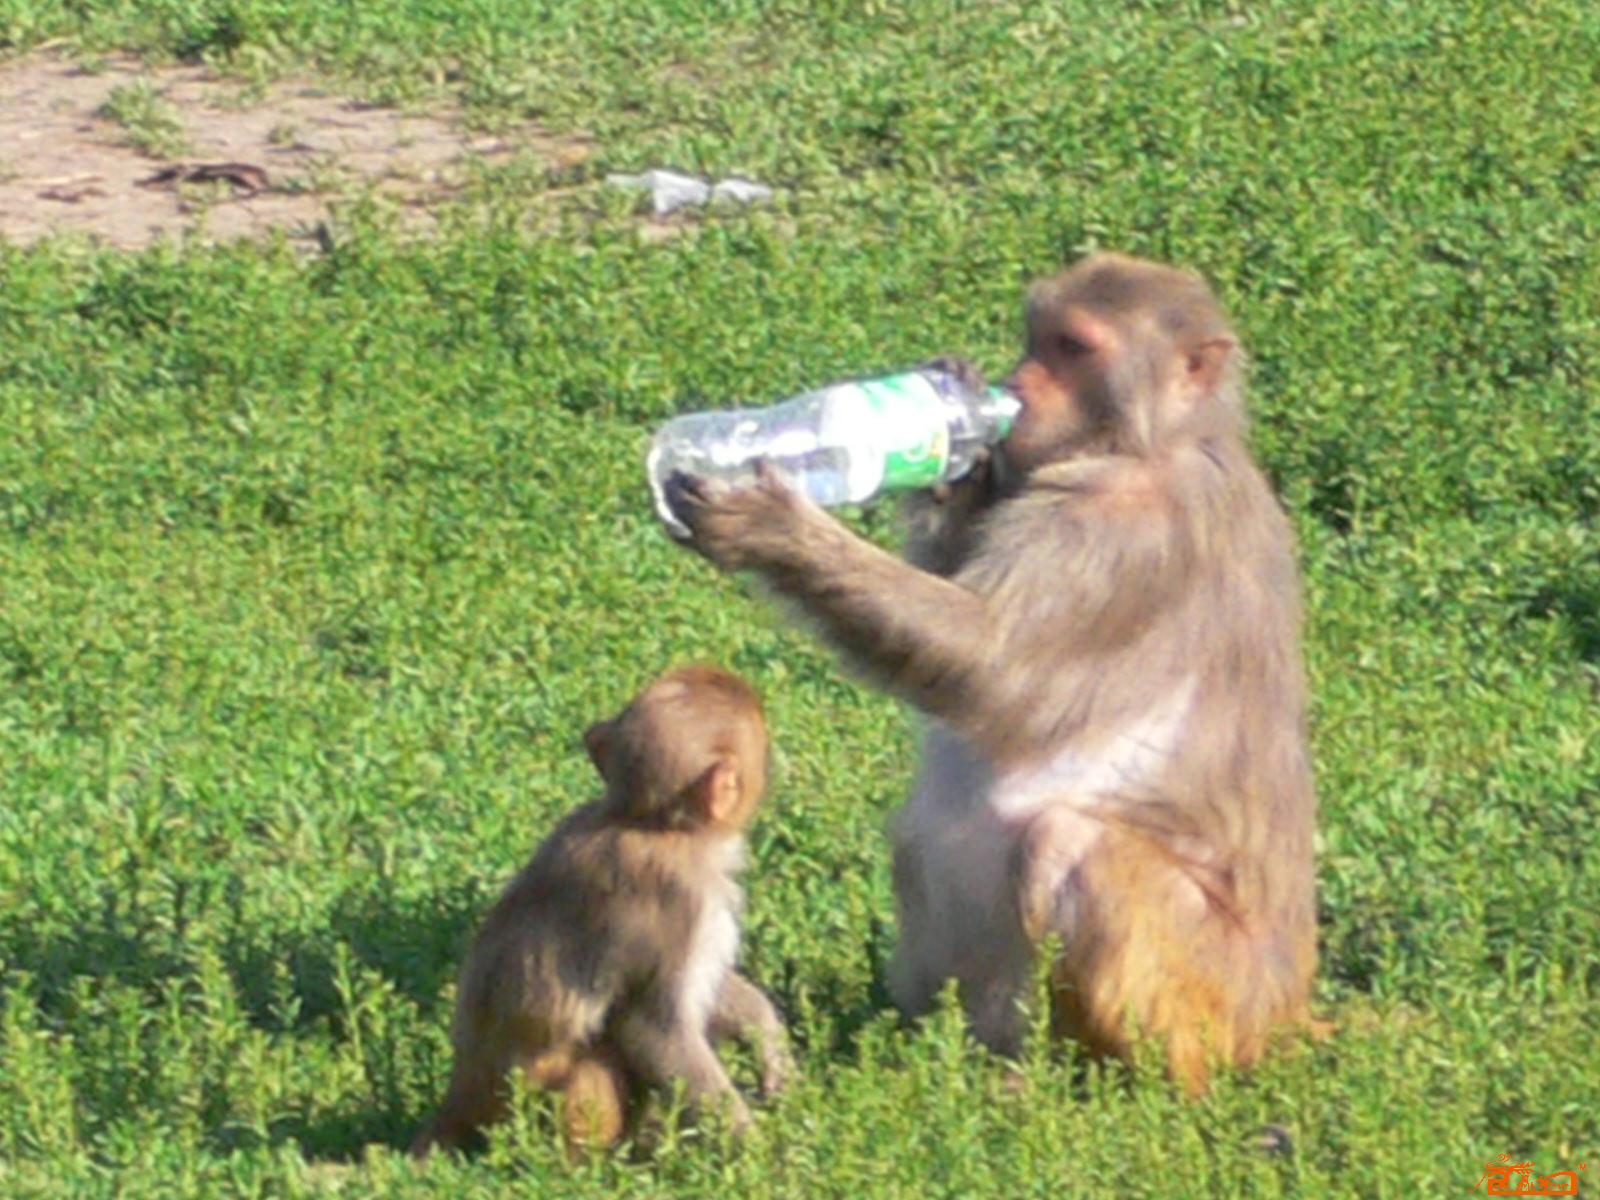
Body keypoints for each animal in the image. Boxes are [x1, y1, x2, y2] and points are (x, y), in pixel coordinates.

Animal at [409, 662, 790, 1158]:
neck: (650, 823)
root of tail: (460, 1102)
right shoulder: (684, 898)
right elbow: (656, 1028)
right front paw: (757, 1150)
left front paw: (763, 1030)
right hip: (529, 1110)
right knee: (604, 1050)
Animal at [668, 256, 1318, 1100]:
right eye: (1035, 337)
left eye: (1073, 348)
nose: (1019, 382)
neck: (1145, 444)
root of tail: (1287, 1011)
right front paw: (952, 456)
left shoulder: (1125, 528)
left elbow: (988, 659)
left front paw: (777, 526)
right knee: (918, 836)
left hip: (1217, 997)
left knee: (1067, 843)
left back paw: (1101, 1082)